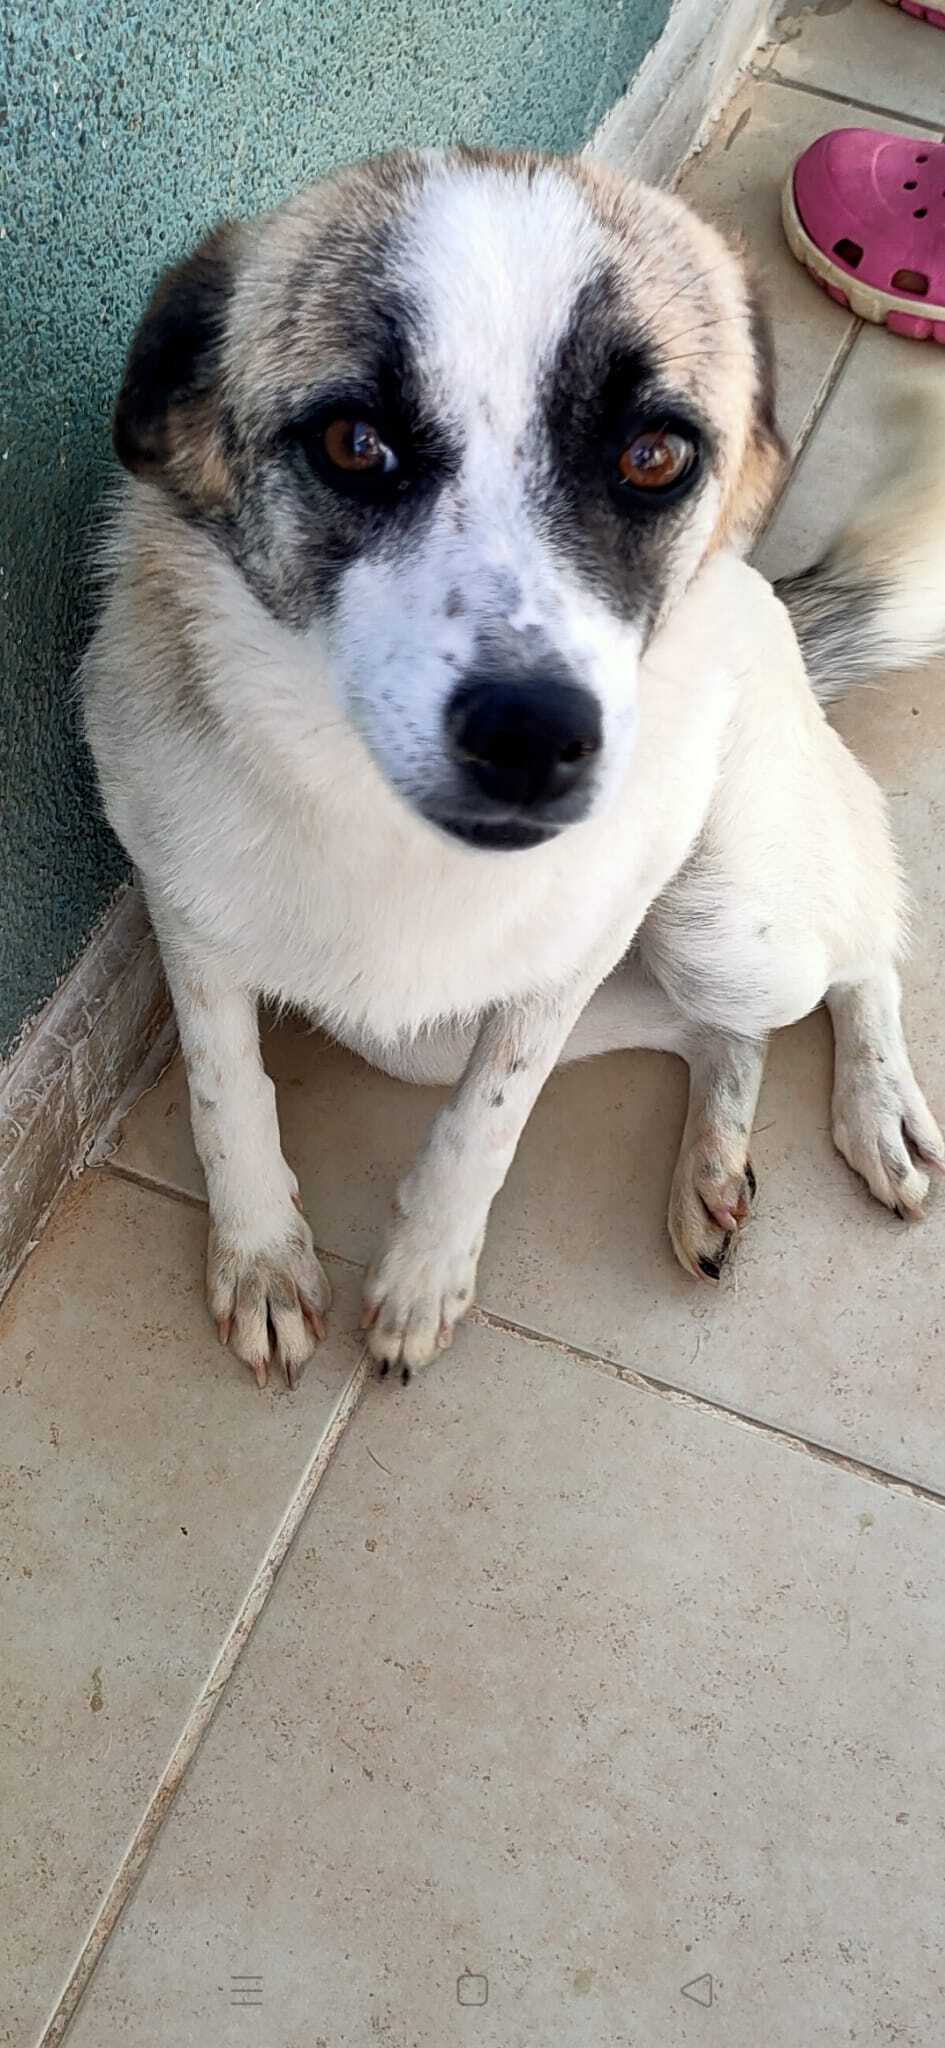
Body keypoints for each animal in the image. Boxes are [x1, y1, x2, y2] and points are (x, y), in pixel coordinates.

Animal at [80, 151, 942, 1384]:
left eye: (654, 455)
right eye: (354, 442)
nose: (534, 737)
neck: (391, 841)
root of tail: (770, 604)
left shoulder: (562, 966)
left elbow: (486, 1124)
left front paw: (423, 1274)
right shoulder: (189, 916)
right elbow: (222, 1089)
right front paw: (258, 1256)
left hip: (731, 923)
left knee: (860, 941)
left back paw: (878, 1106)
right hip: (446, 1032)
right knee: (713, 1030)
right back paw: (712, 1166)